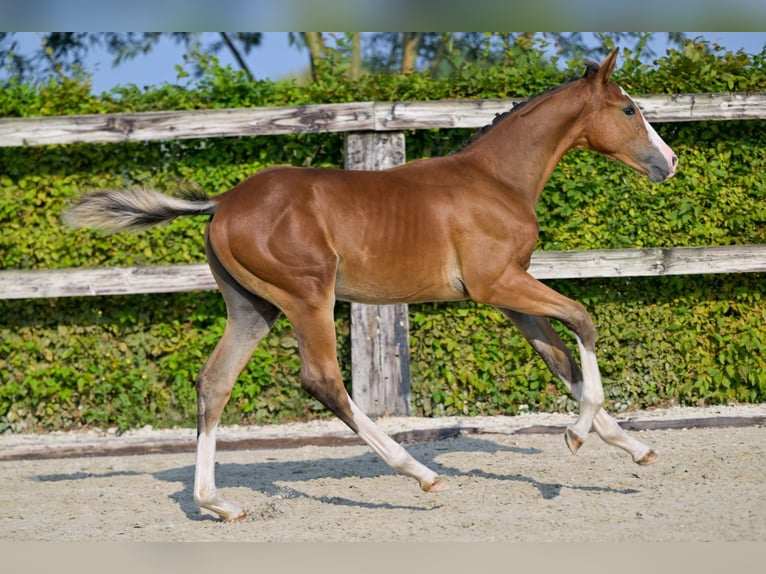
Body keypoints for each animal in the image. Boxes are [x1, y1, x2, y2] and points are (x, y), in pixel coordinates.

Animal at [64, 51, 680, 524]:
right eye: (628, 108)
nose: (669, 162)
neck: (495, 180)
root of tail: (221, 203)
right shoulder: (497, 284)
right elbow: (581, 319)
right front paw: (578, 436)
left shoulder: (510, 294)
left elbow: (560, 361)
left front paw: (635, 448)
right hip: (308, 296)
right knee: (323, 381)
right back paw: (420, 473)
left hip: (253, 308)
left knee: (214, 383)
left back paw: (218, 504)